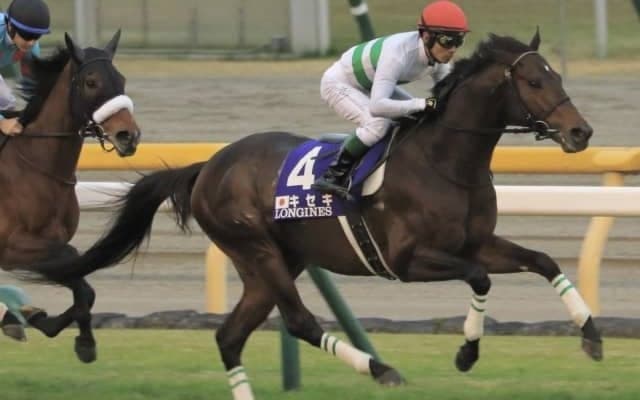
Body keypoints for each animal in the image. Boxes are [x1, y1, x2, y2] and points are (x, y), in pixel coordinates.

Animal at [1, 30, 141, 363]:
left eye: (121, 78)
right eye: (91, 82)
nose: (128, 136)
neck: (32, 166)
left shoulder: (47, 245)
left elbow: (82, 284)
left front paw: (48, 323)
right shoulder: (13, 246)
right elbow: (75, 266)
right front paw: (82, 339)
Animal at [15, 31, 601, 398]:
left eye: (556, 77)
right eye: (534, 83)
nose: (581, 132)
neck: (446, 161)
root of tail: (209, 165)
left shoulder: (476, 243)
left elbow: (543, 261)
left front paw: (591, 337)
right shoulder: (409, 260)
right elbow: (479, 277)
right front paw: (466, 354)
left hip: (274, 261)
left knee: (230, 337)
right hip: (256, 248)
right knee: (297, 320)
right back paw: (381, 369)